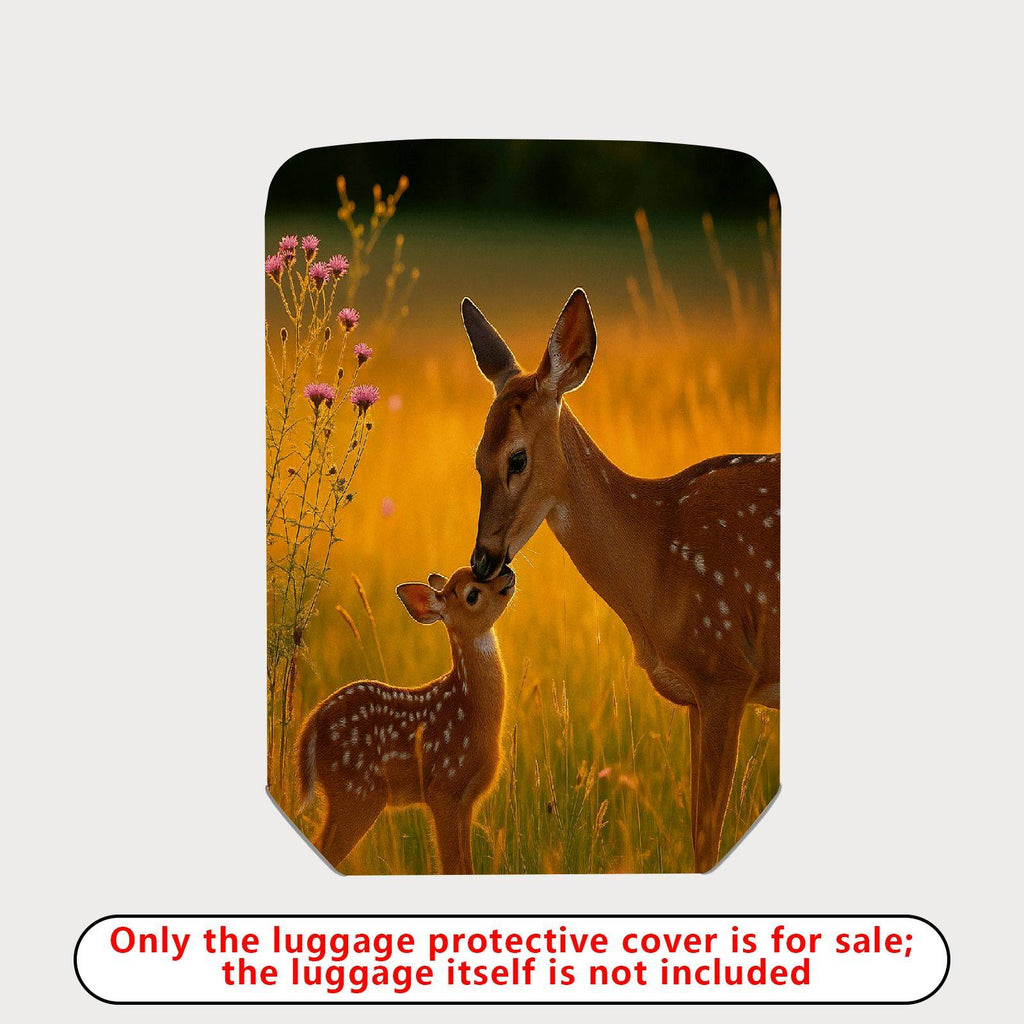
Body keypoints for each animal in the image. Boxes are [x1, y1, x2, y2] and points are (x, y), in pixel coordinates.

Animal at [296, 565, 515, 874]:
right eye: (472, 594)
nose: (508, 572)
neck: (471, 711)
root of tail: (311, 724)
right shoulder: (443, 787)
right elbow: (452, 865)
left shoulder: (467, 799)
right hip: (358, 791)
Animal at [461, 288, 779, 872]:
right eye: (475, 459)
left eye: (516, 457)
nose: (483, 560)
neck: (656, 560)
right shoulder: (696, 695)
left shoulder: (726, 670)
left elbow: (708, 839)